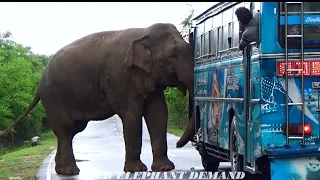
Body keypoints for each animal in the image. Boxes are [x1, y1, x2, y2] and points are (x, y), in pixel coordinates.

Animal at [0, 22, 195, 176]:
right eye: (172, 55)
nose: (179, 145)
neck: (143, 32)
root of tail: (39, 83)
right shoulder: (119, 77)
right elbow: (131, 115)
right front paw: (136, 169)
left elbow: (159, 113)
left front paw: (165, 168)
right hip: (53, 99)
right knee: (65, 130)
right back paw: (71, 172)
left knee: (69, 132)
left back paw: (60, 171)